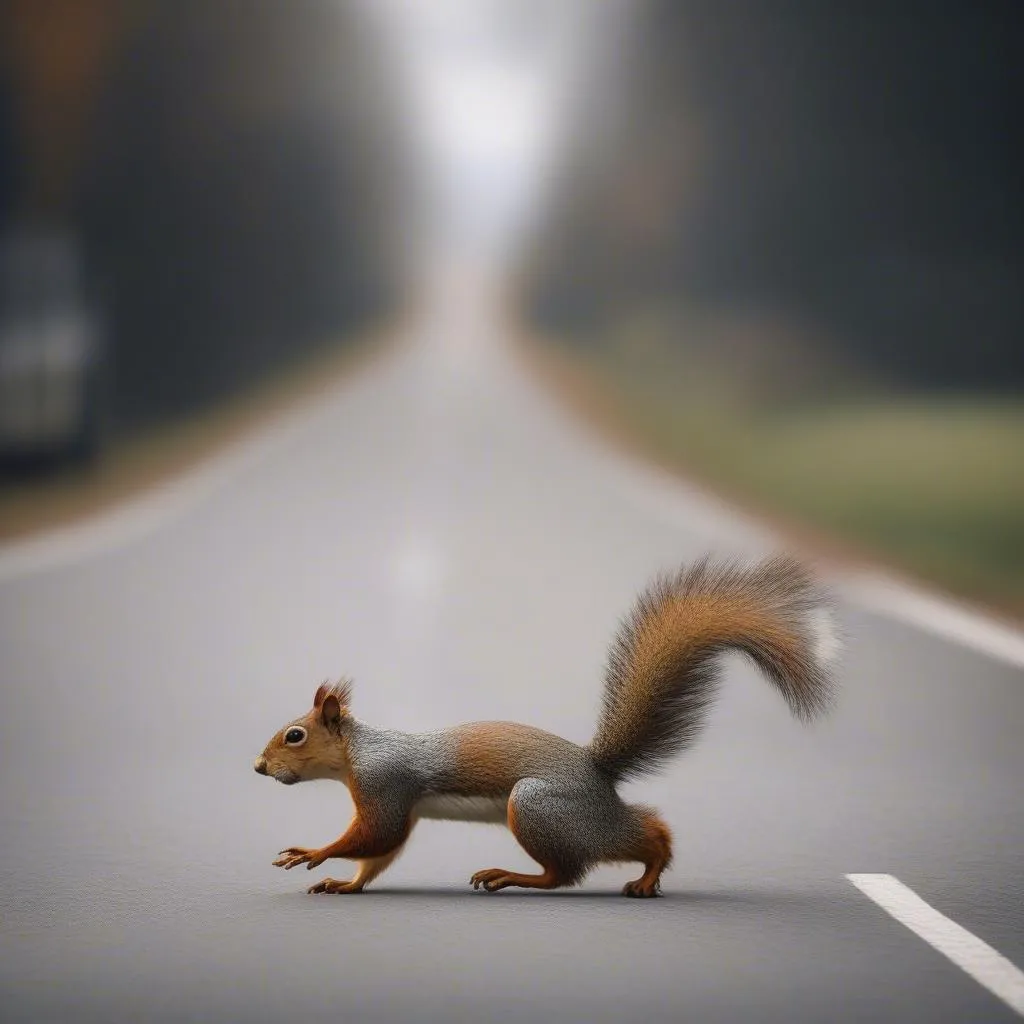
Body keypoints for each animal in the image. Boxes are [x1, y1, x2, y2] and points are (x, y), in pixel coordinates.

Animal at [251, 552, 835, 897]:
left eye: (294, 735)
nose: (258, 766)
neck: (356, 754)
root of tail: (597, 771)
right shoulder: (396, 805)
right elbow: (380, 853)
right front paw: (345, 885)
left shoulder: (385, 786)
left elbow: (374, 835)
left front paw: (312, 853)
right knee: (642, 834)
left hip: (539, 807)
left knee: (566, 874)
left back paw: (515, 875)